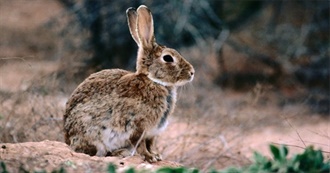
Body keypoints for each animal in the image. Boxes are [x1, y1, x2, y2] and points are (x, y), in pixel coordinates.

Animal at [63, 4, 195, 163]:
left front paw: (156, 156)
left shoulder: (152, 132)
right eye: (168, 58)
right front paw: (150, 158)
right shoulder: (138, 126)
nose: (192, 72)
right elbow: (141, 144)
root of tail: (68, 140)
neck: (153, 81)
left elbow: (150, 144)